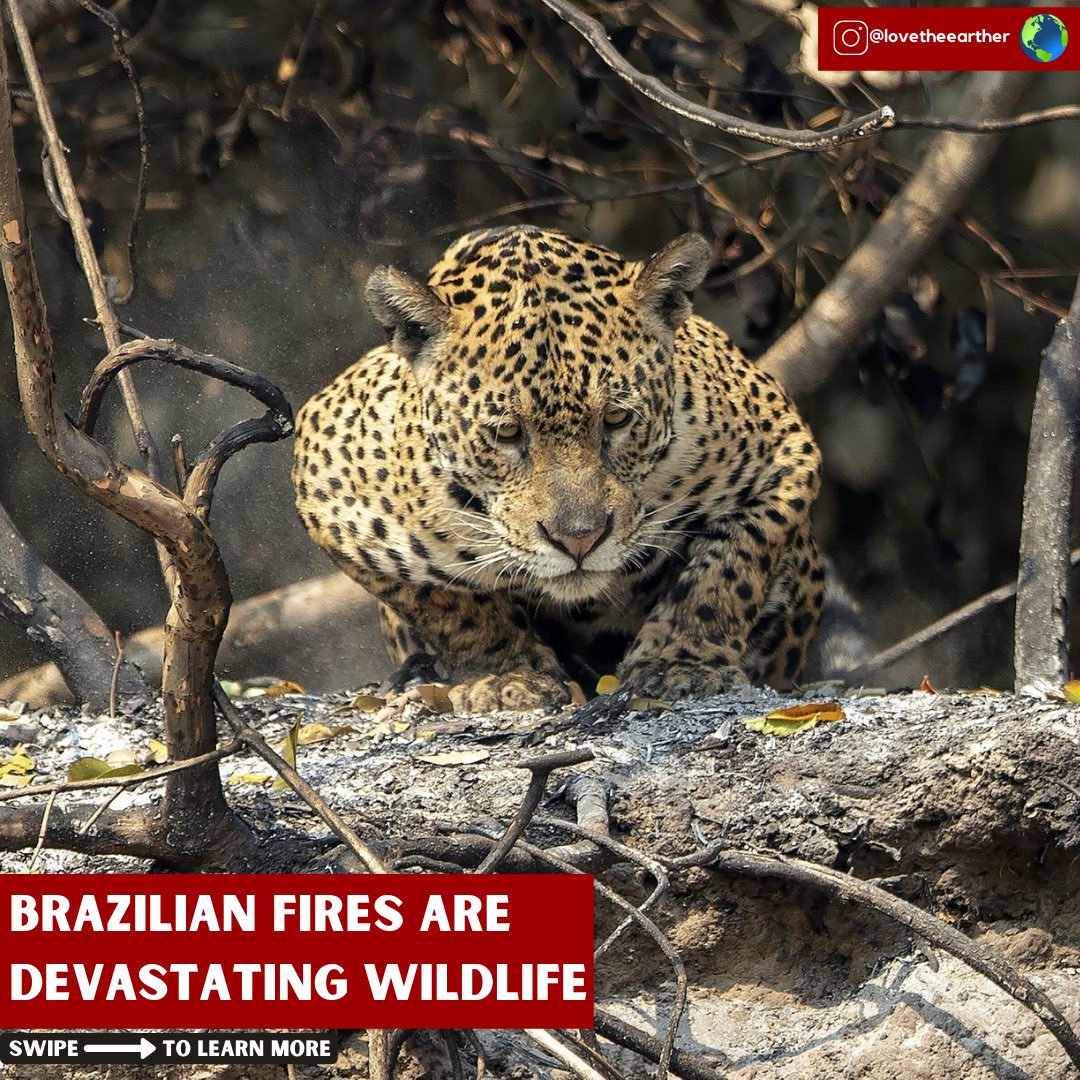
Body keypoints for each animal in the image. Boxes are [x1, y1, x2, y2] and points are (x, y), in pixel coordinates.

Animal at [292, 226, 825, 712]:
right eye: (507, 433)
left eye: (616, 419)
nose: (579, 541)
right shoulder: (329, 491)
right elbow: (449, 604)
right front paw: (508, 675)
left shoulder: (785, 451)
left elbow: (728, 568)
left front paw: (679, 661)